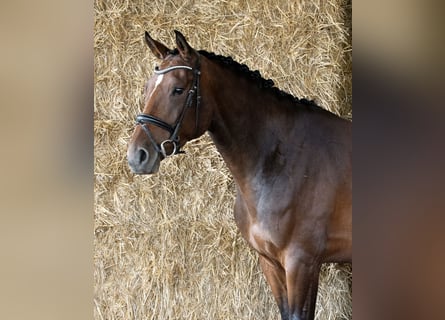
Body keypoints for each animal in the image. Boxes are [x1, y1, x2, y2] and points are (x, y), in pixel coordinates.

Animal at [127, 30, 350, 320]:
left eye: (178, 90)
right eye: (146, 89)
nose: (137, 156)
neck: (280, 161)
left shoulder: (302, 263)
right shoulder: (270, 262)